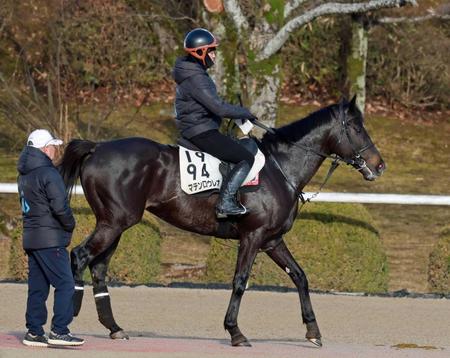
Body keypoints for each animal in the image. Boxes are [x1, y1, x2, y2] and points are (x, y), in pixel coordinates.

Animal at [59, 96, 384, 348]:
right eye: (356, 127)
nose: (379, 165)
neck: (279, 170)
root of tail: (98, 147)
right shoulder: (253, 237)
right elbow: (240, 281)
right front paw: (235, 332)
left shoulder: (272, 241)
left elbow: (300, 277)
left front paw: (313, 331)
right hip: (114, 223)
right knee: (79, 256)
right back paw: (66, 322)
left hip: (115, 224)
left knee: (98, 267)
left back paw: (114, 328)